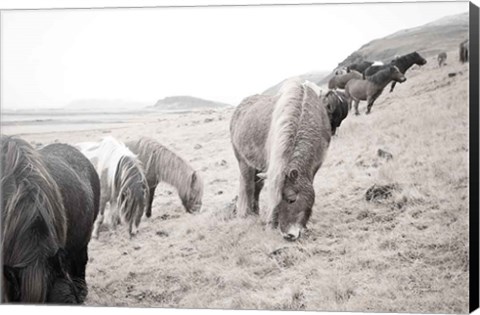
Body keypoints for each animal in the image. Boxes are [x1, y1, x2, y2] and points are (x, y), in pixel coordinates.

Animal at [230, 78, 338, 241]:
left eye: (291, 199)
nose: (289, 234)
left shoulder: (315, 166)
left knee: (256, 188)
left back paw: (255, 212)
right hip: (244, 163)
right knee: (249, 187)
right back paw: (249, 215)